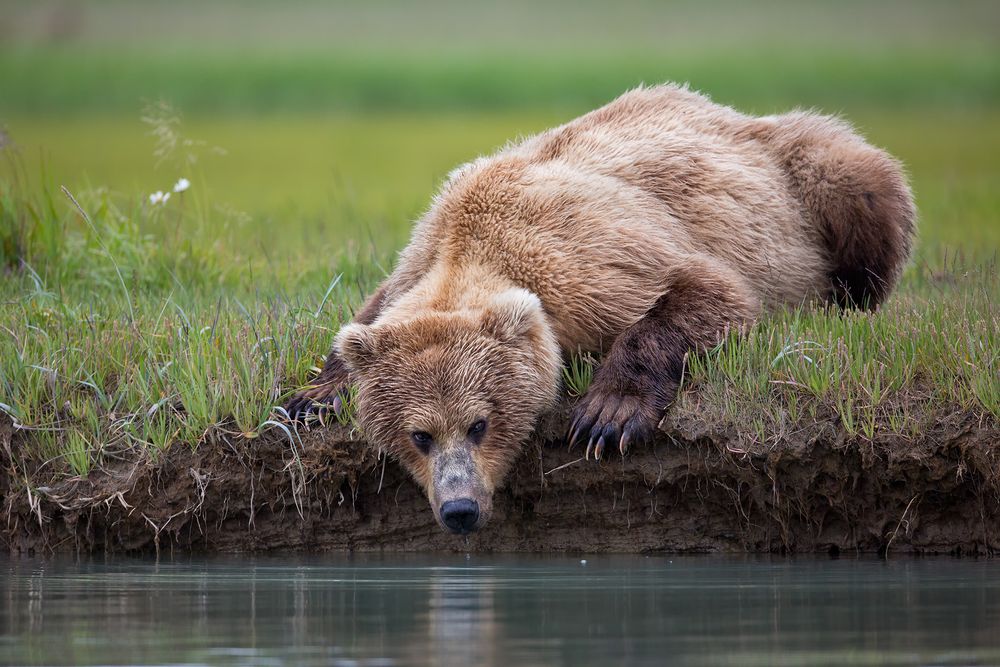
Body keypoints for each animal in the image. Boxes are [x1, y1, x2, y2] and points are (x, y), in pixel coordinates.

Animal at [285, 84, 916, 535]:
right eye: (419, 435)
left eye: (479, 423)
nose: (459, 509)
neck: (473, 249)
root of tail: (728, 110)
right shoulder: (418, 255)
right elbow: (365, 316)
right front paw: (310, 398)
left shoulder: (585, 260)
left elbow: (708, 293)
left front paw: (607, 414)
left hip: (804, 178)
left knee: (858, 184)